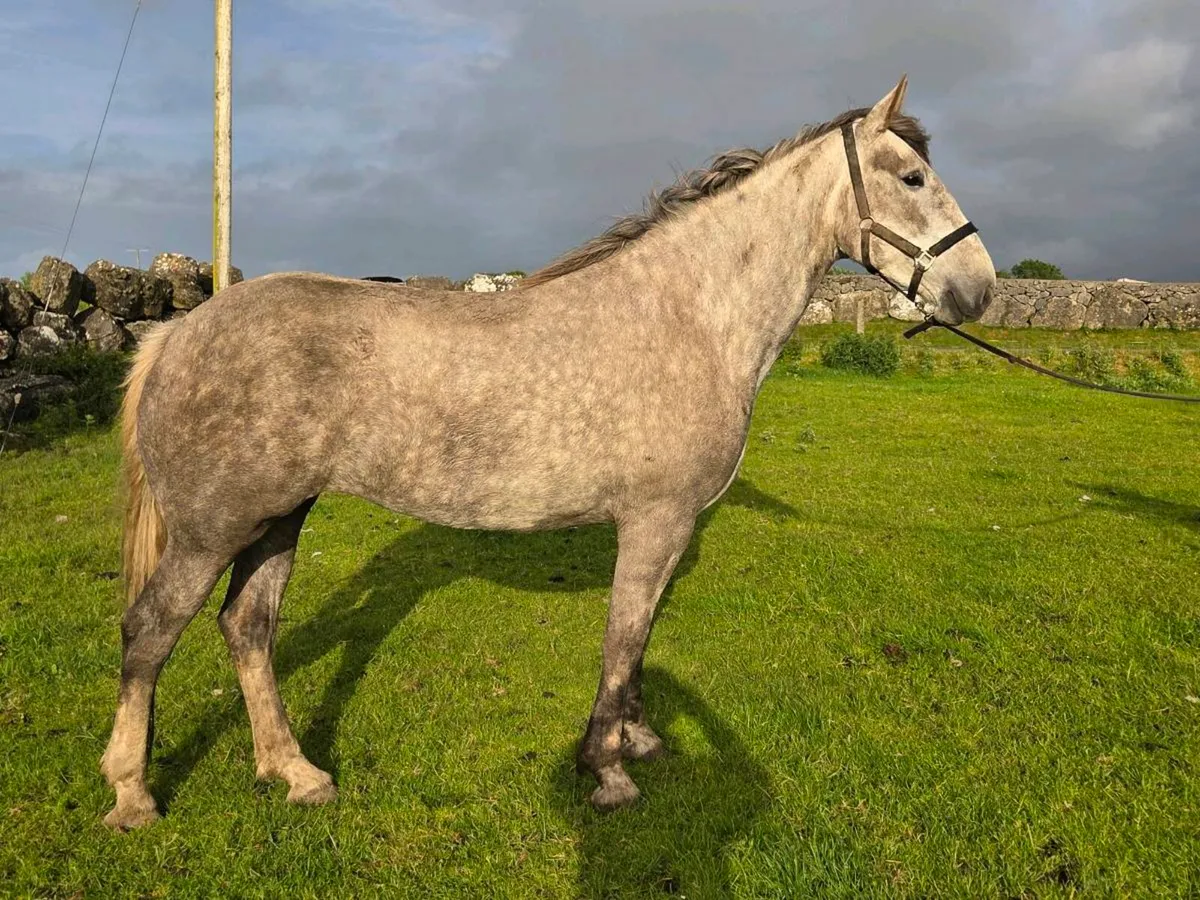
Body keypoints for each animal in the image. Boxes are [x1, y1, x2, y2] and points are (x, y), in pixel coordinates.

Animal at [101, 76, 995, 829]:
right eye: (912, 178)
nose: (980, 290)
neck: (688, 315)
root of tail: (176, 333)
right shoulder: (654, 521)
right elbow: (623, 639)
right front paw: (607, 771)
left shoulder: (664, 528)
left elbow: (640, 641)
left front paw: (638, 741)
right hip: (212, 530)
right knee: (149, 632)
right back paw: (133, 795)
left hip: (278, 519)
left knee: (247, 629)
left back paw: (296, 772)